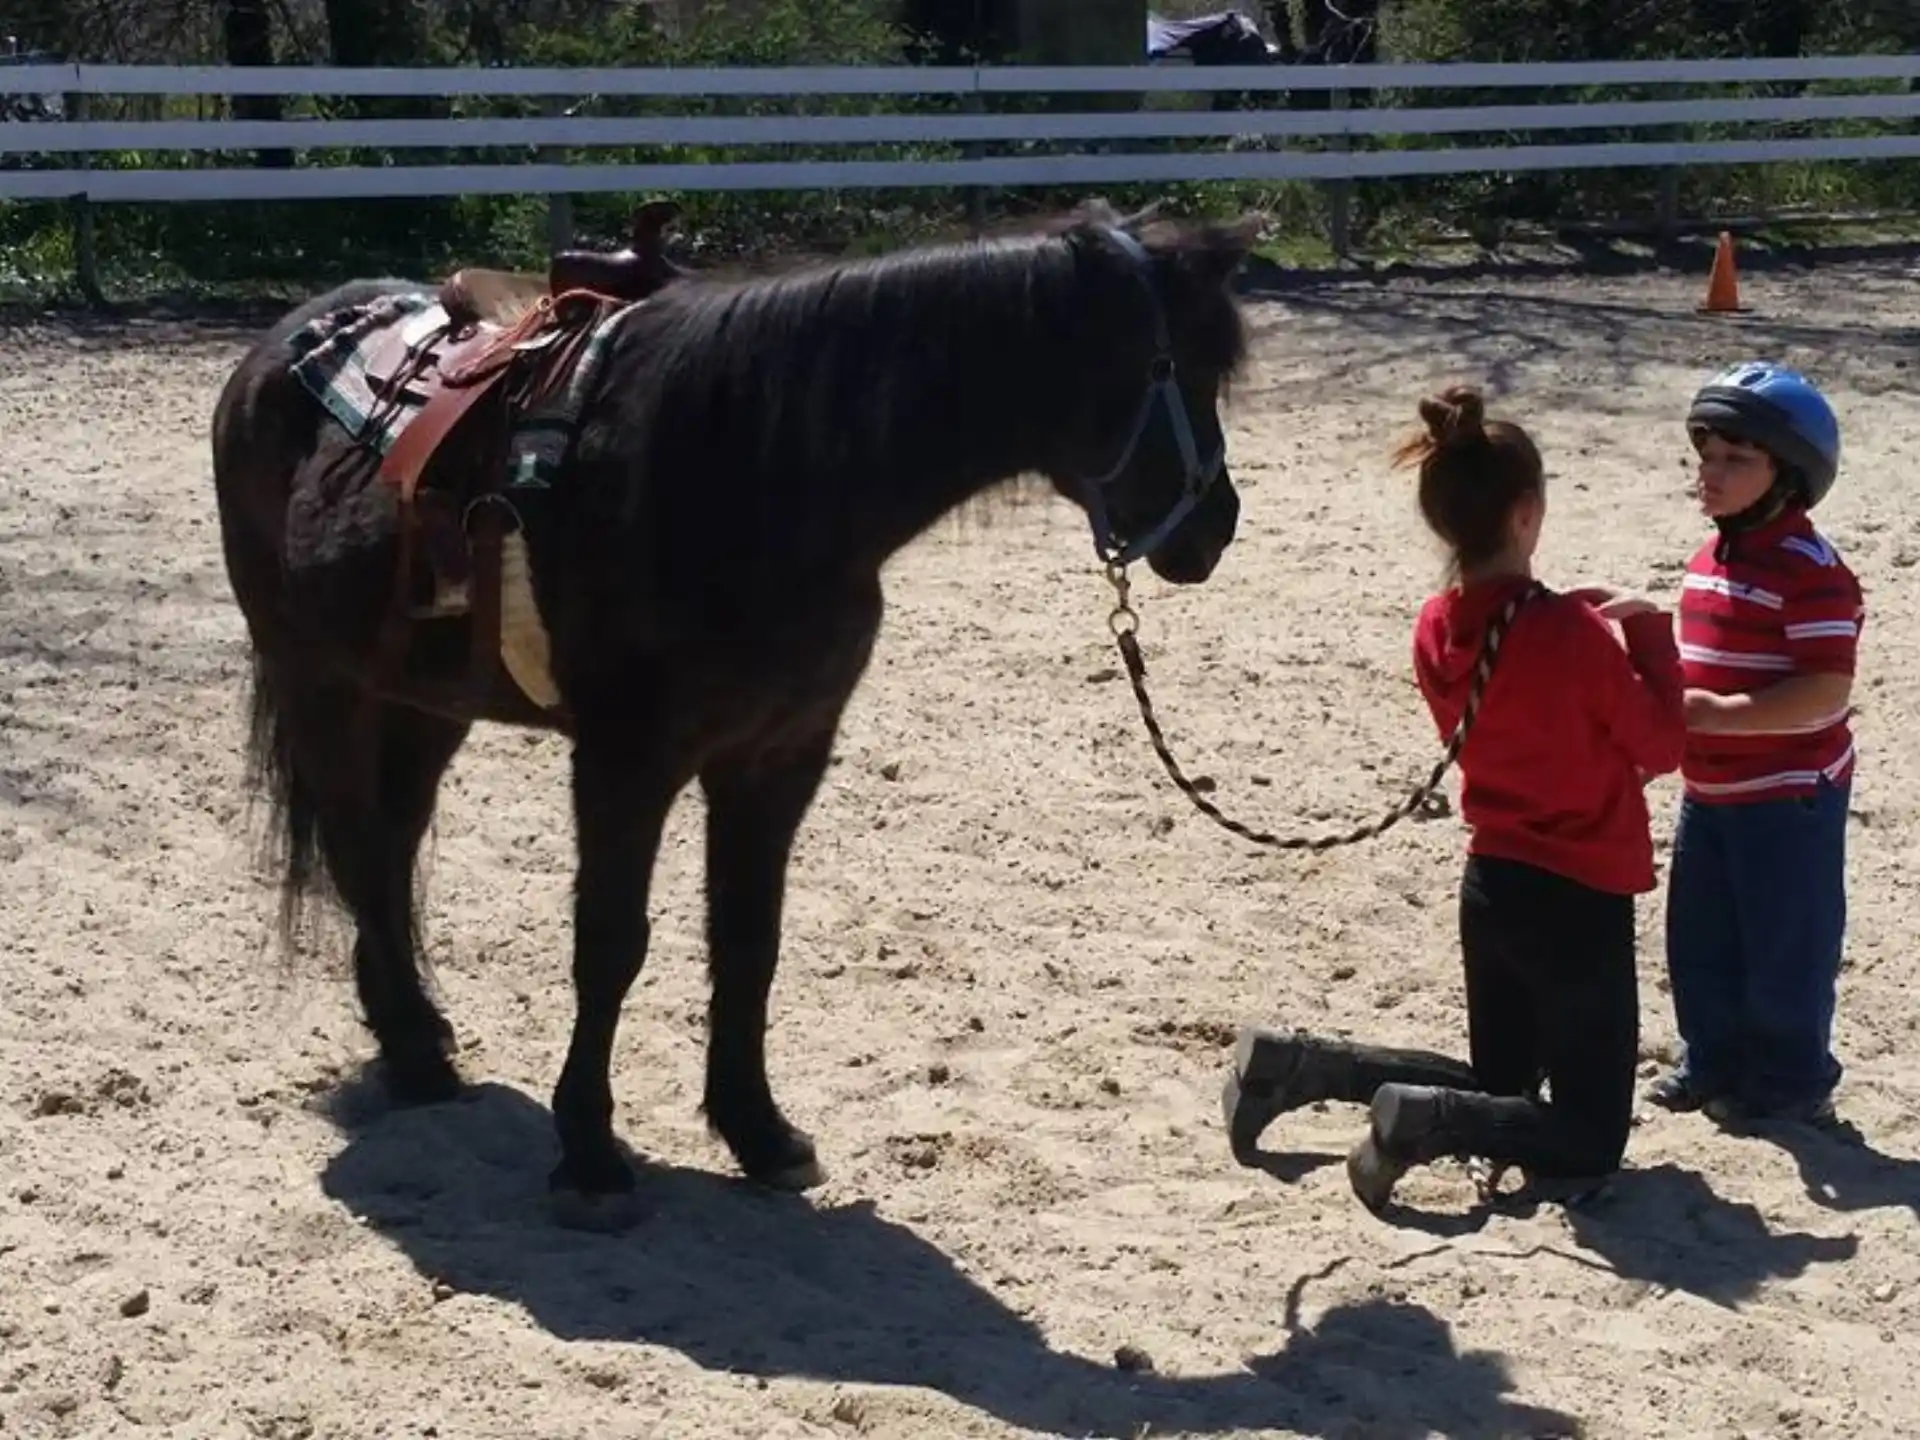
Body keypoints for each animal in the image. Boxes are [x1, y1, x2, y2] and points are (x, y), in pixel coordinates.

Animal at [209, 196, 1258, 1226]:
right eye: (1174, 366)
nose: (1214, 528)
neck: (751, 476)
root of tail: (275, 351)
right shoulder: (625, 762)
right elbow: (610, 944)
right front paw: (590, 1156)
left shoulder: (780, 755)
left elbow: (751, 938)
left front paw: (759, 1131)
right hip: (320, 684)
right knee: (357, 848)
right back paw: (417, 1056)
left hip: (423, 704)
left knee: (388, 847)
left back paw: (415, 1033)